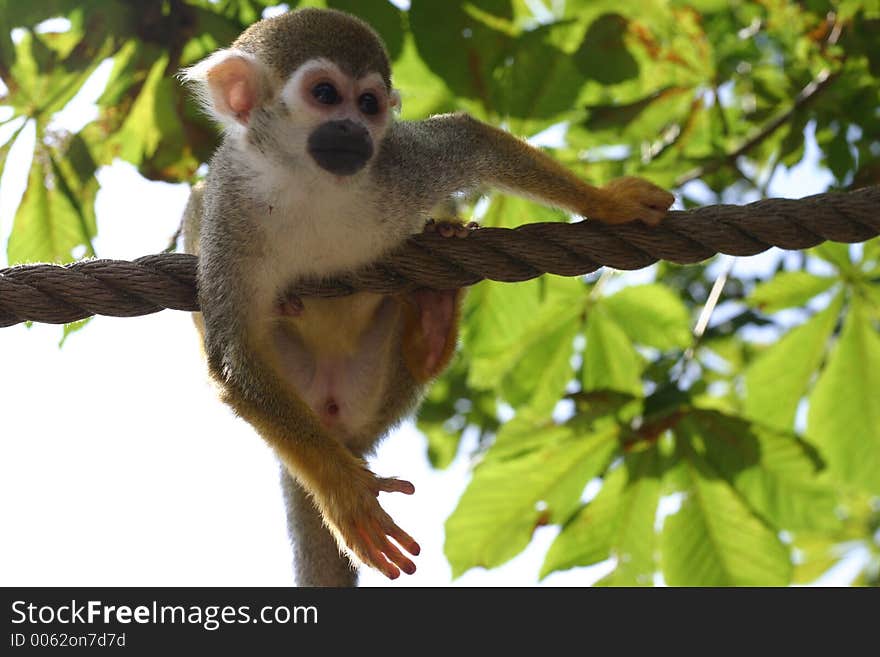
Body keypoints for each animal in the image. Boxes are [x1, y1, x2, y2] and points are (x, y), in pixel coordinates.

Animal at [179, 7, 672, 588]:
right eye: (325, 94)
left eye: (369, 103)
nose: (353, 129)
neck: (310, 185)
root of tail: (338, 428)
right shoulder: (231, 208)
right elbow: (233, 358)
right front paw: (345, 493)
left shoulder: (397, 163)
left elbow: (470, 138)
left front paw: (608, 202)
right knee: (195, 208)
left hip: (375, 388)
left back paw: (431, 323)